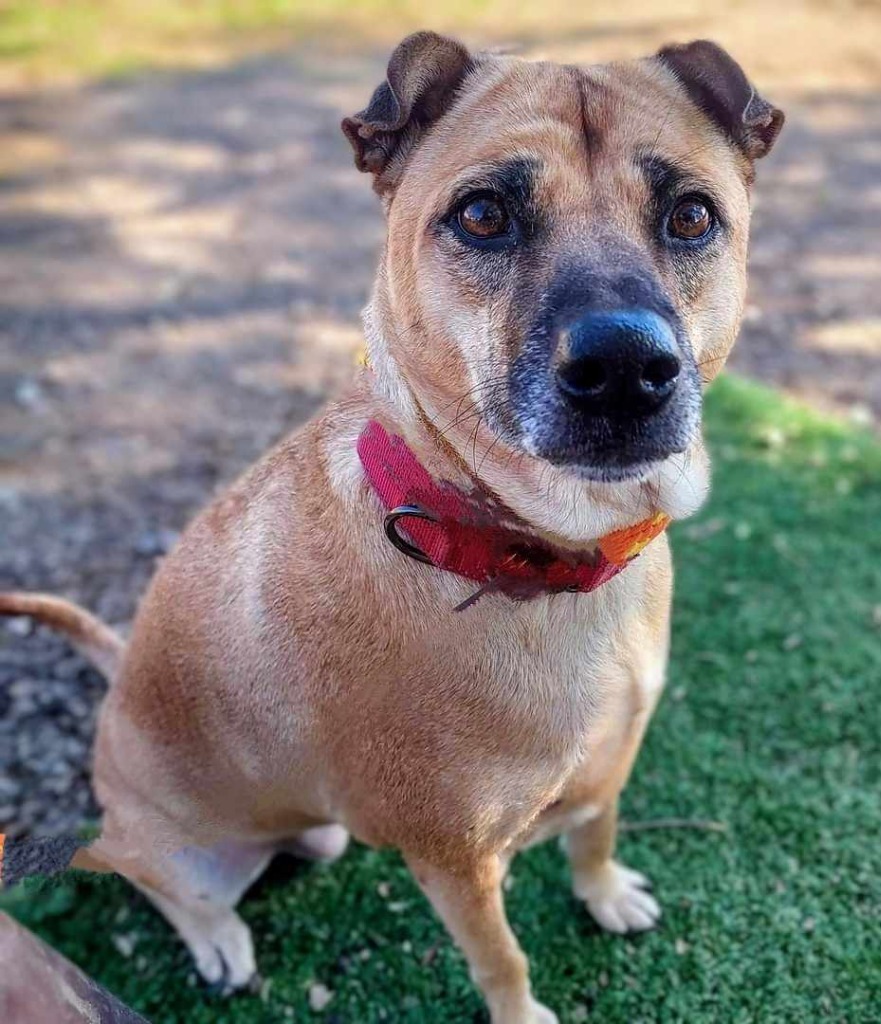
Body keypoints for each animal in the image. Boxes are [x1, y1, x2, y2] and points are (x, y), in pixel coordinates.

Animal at [1, 32, 782, 1024]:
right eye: (482, 214)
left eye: (689, 216)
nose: (623, 369)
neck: (517, 551)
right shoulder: (453, 858)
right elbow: (502, 958)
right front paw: (522, 1012)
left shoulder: (612, 757)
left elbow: (594, 833)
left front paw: (602, 892)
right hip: (173, 853)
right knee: (158, 882)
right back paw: (216, 938)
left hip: (314, 828)